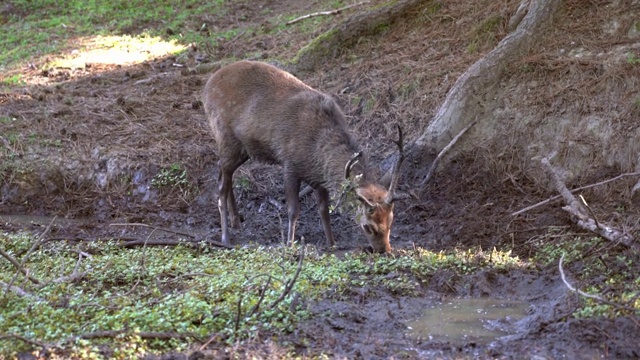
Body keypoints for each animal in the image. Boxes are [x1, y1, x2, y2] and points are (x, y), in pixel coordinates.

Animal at [204, 59, 404, 253]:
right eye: (367, 226)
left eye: (390, 222)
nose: (384, 250)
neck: (317, 152)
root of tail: (207, 86)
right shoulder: (290, 164)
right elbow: (294, 209)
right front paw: (290, 243)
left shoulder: (319, 178)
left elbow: (324, 210)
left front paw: (332, 244)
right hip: (225, 135)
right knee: (221, 186)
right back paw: (225, 237)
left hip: (242, 149)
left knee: (225, 175)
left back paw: (236, 222)